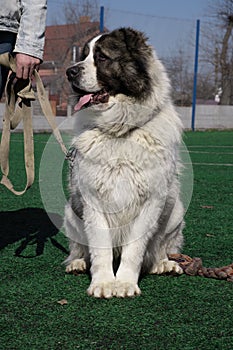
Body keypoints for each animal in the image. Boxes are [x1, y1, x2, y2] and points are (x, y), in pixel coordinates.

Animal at [63, 28, 184, 298]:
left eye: (102, 57)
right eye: (83, 55)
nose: (70, 72)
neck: (120, 131)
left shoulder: (152, 201)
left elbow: (134, 249)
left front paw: (125, 282)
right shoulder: (93, 201)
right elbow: (101, 249)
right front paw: (104, 283)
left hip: (175, 211)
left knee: (160, 247)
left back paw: (163, 263)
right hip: (71, 212)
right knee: (78, 247)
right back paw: (77, 262)